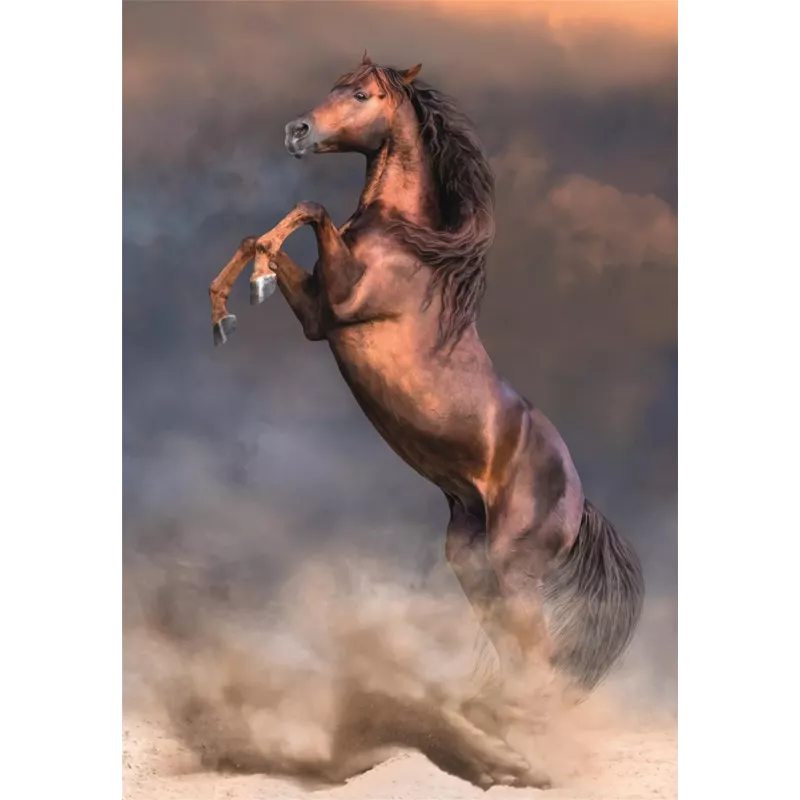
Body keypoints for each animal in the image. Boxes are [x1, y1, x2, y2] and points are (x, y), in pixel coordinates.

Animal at [207, 54, 644, 788]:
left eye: (361, 94)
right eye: (332, 86)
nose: (297, 131)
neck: (405, 243)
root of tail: (580, 501)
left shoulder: (339, 302)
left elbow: (310, 208)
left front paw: (253, 286)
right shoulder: (319, 314)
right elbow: (263, 233)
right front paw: (227, 307)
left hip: (513, 569)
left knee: (539, 660)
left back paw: (519, 749)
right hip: (472, 563)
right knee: (518, 660)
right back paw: (493, 736)